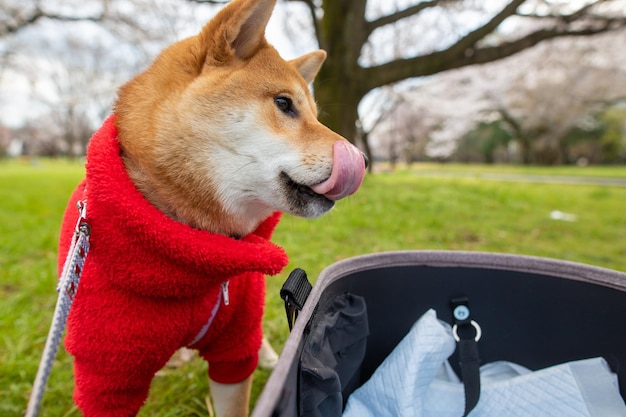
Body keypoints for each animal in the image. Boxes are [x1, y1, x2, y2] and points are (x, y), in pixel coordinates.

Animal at [57, 0, 366, 416]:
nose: (362, 159)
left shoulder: (234, 350)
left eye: (315, 115)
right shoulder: (106, 374)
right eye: (283, 103)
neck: (196, 243)